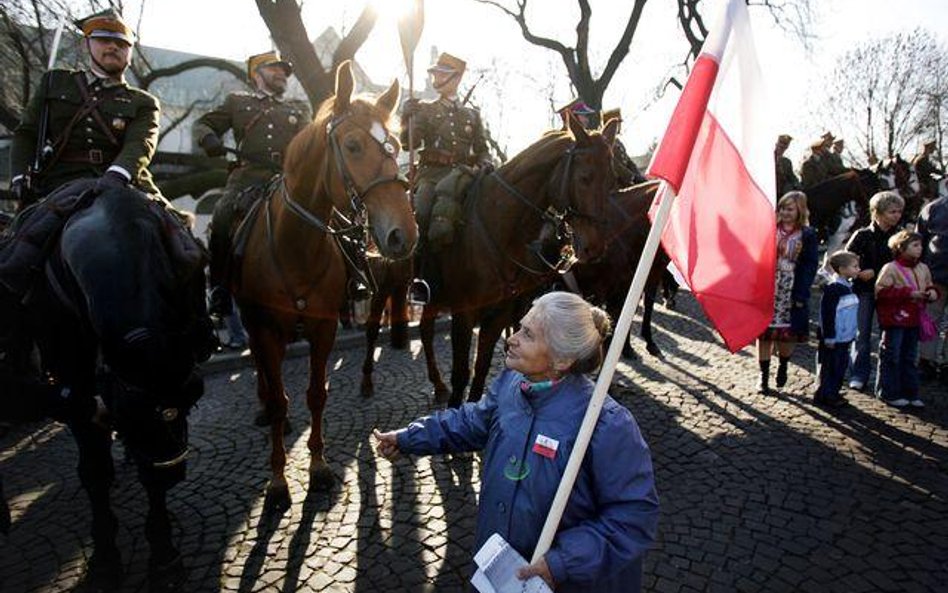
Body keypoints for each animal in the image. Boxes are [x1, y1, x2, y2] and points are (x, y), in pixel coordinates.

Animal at [0, 179, 214, 588]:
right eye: (132, 413)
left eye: (193, 397)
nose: (173, 472)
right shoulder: (73, 381)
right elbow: (94, 468)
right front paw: (105, 557)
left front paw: (163, 551)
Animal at [229, 62, 414, 502]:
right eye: (352, 145)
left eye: (396, 145)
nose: (404, 234)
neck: (294, 245)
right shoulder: (265, 329)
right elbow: (281, 401)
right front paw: (278, 479)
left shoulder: (324, 327)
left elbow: (316, 395)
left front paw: (317, 466)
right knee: (264, 375)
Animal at [418, 114, 620, 408]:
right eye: (584, 178)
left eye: (612, 180)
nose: (594, 248)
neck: (499, 228)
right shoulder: (464, 313)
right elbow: (461, 374)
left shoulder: (499, 314)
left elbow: (481, 369)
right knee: (425, 330)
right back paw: (437, 384)